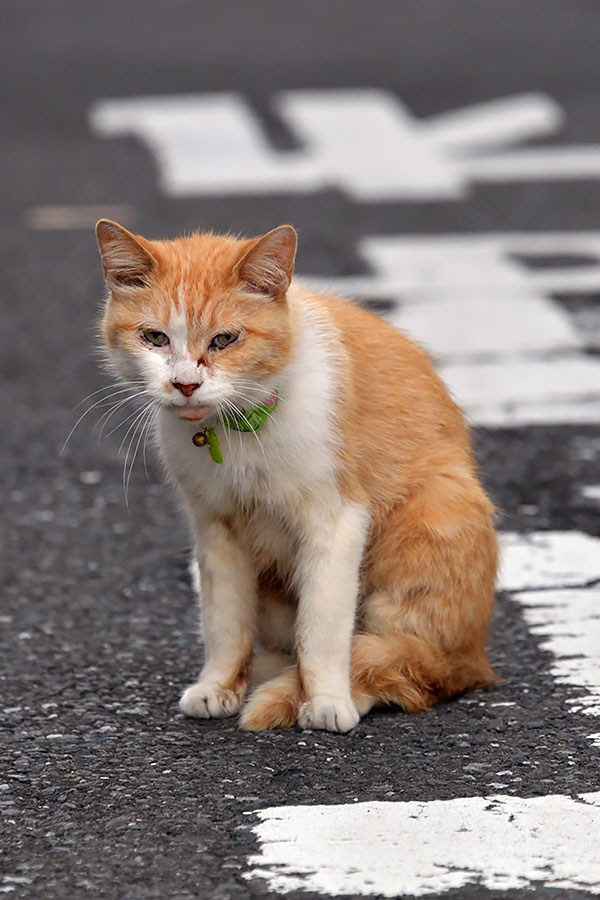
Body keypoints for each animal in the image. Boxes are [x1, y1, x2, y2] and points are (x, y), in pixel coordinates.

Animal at [96, 218, 500, 732]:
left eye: (225, 340)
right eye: (154, 338)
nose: (185, 384)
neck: (241, 429)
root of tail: (478, 656)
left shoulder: (337, 518)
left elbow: (322, 628)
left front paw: (325, 699)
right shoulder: (214, 527)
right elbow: (224, 623)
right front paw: (219, 685)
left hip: (435, 512)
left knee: (412, 666)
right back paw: (263, 671)